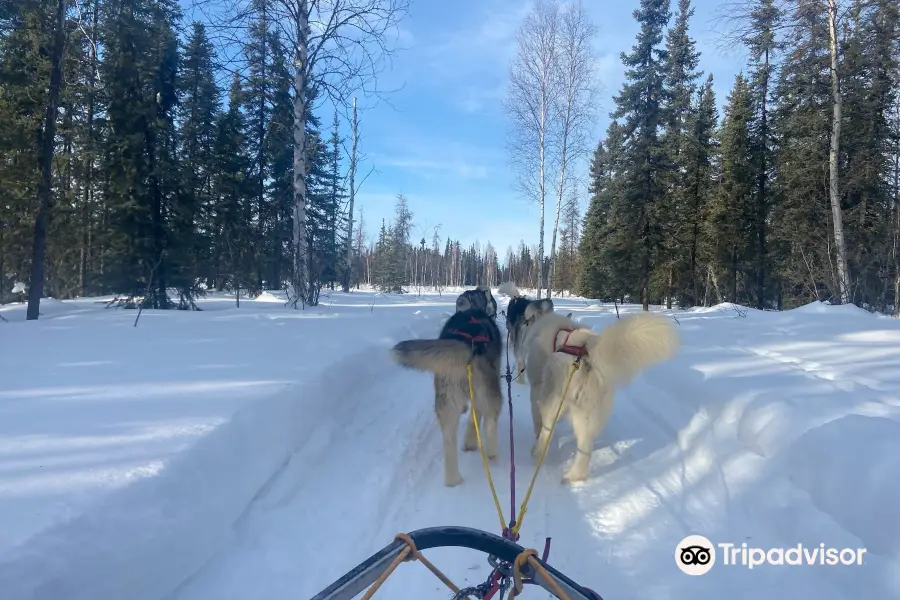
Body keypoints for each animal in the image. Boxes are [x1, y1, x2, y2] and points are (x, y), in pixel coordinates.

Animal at [388, 308, 502, 486]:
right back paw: (492, 454)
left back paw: (453, 480)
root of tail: (467, 342)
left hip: (447, 401)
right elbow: (474, 418)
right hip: (488, 394)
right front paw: (470, 442)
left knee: (449, 438)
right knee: (490, 422)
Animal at [524, 304, 680, 482]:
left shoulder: (536, 390)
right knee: (584, 449)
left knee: (547, 430)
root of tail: (589, 354)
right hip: (587, 414)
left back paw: (537, 452)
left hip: (553, 402)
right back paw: (573, 476)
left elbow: (537, 421)